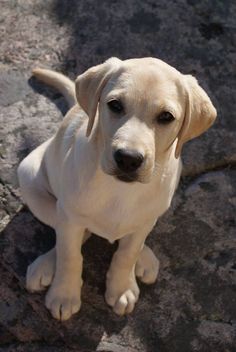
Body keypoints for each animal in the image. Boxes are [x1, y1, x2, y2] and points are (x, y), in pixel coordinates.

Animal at [17, 57, 217, 320]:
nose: (129, 159)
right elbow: (70, 255)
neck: (120, 190)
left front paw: (121, 287)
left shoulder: (145, 220)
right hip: (30, 177)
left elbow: (127, 253)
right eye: (115, 105)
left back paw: (145, 258)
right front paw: (64, 294)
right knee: (68, 233)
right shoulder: (70, 218)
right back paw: (45, 265)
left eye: (166, 116)